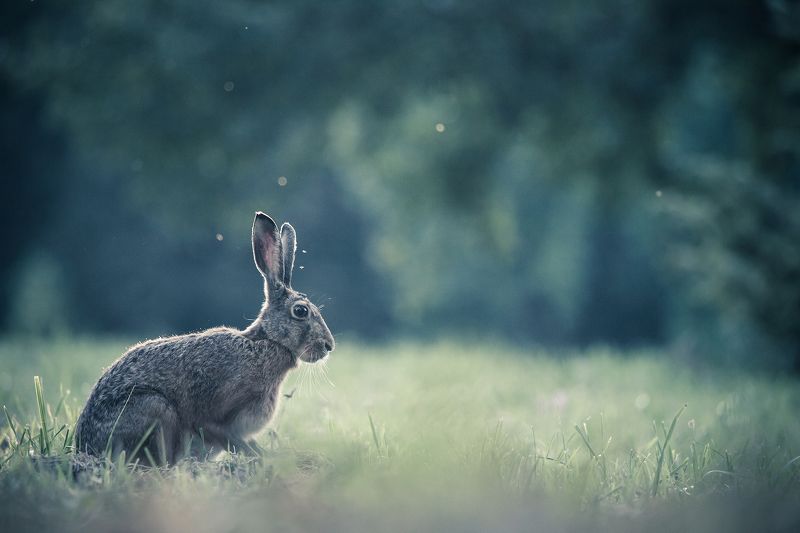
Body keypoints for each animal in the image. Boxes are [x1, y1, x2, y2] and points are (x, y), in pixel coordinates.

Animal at [74, 212, 334, 464]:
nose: (328, 346)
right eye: (300, 311)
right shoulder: (217, 414)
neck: (266, 343)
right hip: (154, 407)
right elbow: (229, 438)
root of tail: (84, 446)